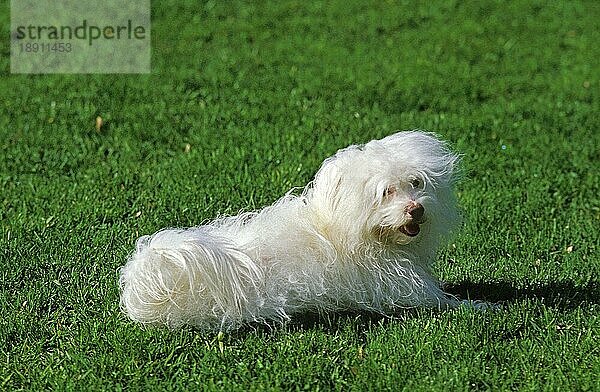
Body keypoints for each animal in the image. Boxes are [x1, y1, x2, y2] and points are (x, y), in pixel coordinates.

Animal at [120, 130, 468, 330]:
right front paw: (477, 307)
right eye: (386, 192)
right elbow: (453, 303)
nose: (416, 209)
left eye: (416, 183)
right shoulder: (409, 292)